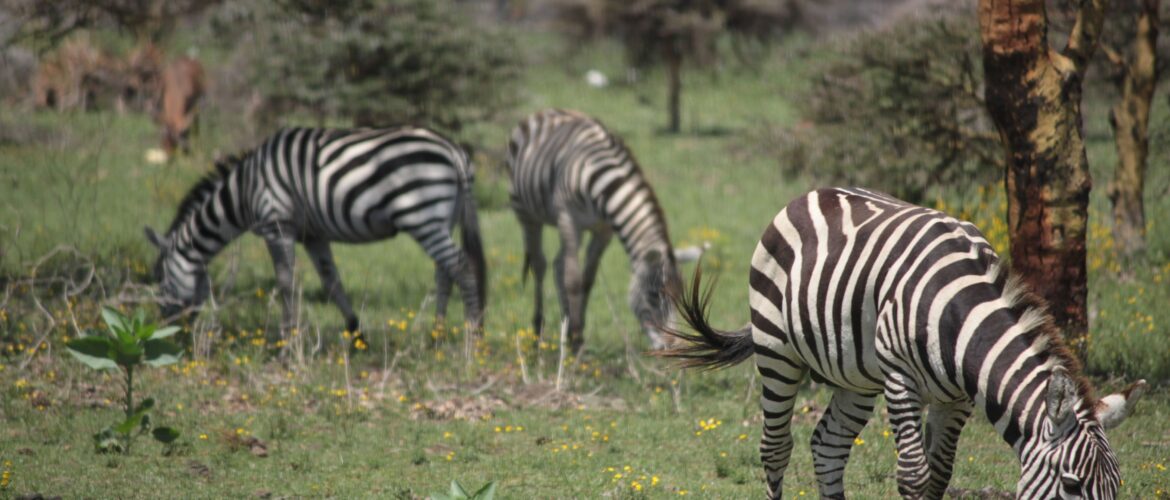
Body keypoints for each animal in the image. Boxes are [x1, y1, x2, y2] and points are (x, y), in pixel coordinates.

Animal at [145, 127, 484, 341]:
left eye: (160, 279)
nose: (167, 334)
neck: (244, 190)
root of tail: (453, 149)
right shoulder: (313, 235)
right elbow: (331, 282)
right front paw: (357, 333)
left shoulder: (277, 226)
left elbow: (286, 282)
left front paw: (286, 342)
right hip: (442, 218)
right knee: (444, 272)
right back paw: (437, 336)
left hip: (421, 214)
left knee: (461, 266)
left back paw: (473, 334)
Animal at [505, 108, 683, 351]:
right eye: (654, 295)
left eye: (680, 298)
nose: (672, 347)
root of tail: (544, 111)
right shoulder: (568, 220)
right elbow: (573, 280)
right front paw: (576, 340)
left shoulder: (603, 230)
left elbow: (586, 280)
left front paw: (576, 331)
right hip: (526, 214)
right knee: (539, 264)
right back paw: (538, 329)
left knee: (558, 264)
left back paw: (565, 321)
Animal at [664, 188, 1146, 500]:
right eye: (1071, 485)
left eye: (1117, 487)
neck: (960, 318)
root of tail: (811, 194)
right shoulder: (900, 379)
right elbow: (914, 476)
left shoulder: (957, 399)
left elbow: (939, 475)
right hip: (777, 350)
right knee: (776, 449)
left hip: (857, 377)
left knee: (828, 445)